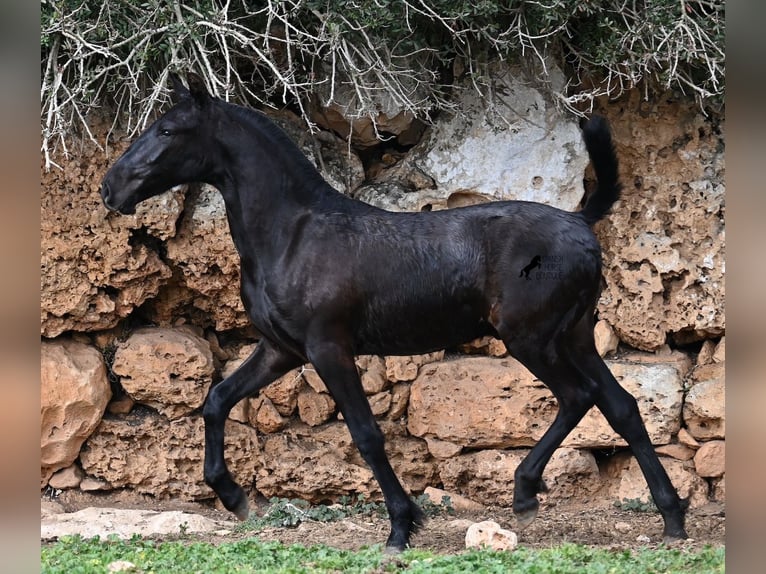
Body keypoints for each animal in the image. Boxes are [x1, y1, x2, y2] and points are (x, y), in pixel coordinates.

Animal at [100, 74, 688, 552]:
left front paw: (402, 527)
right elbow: (217, 400)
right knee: (621, 405)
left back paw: (526, 494)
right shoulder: (282, 349)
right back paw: (671, 517)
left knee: (579, 396)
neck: (293, 235)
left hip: (532, 339)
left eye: (168, 130)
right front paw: (233, 496)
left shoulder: (328, 348)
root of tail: (581, 222)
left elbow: (366, 435)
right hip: (574, 337)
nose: (110, 187)